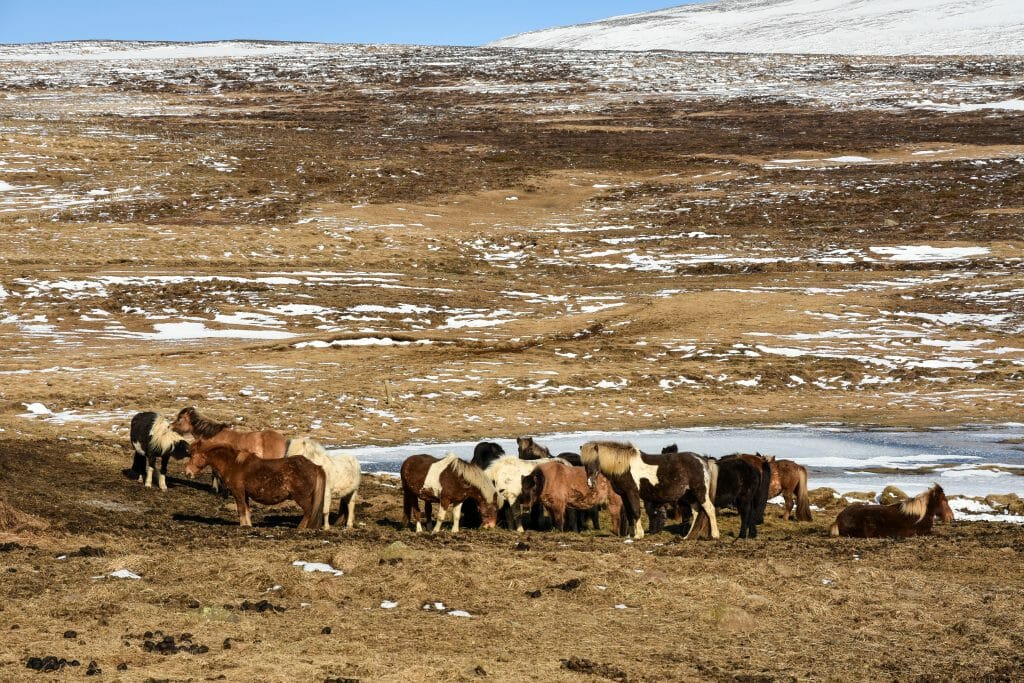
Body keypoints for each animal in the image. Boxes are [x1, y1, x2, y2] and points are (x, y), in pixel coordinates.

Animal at [185, 443, 325, 529]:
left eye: (194, 456)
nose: (187, 473)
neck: (234, 465)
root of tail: (315, 466)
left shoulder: (238, 492)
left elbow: (241, 510)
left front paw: (243, 526)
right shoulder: (245, 494)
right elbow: (247, 510)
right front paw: (248, 525)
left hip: (301, 497)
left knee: (308, 511)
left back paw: (300, 528)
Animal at [581, 441, 719, 540]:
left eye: (596, 461)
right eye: (585, 464)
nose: (590, 483)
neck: (624, 467)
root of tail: (702, 460)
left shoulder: (632, 493)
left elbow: (636, 512)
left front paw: (638, 535)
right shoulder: (624, 495)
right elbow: (629, 514)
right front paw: (630, 535)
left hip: (700, 492)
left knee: (709, 509)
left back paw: (714, 535)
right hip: (689, 495)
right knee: (696, 512)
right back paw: (688, 536)